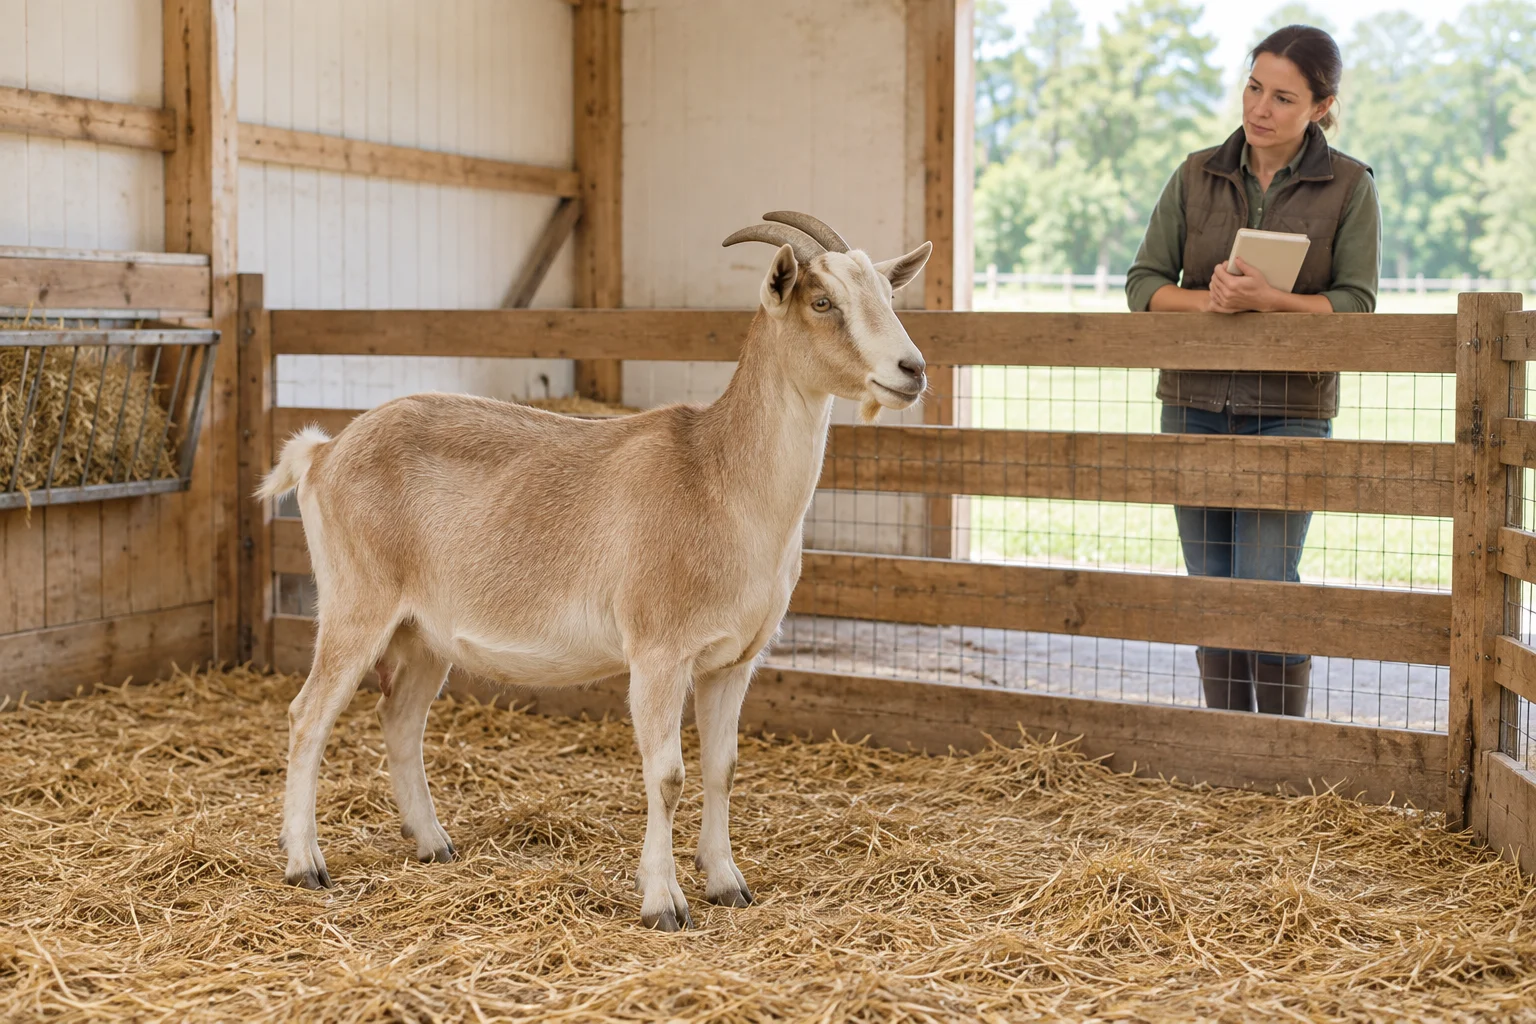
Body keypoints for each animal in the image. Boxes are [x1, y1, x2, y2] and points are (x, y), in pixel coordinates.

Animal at [258, 211, 931, 930]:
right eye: (823, 301)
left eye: (887, 297)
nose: (911, 369)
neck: (719, 479)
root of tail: (324, 452)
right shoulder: (659, 651)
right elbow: (668, 775)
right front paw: (663, 901)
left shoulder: (732, 660)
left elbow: (721, 768)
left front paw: (726, 881)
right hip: (357, 604)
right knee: (308, 715)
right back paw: (305, 863)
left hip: (421, 632)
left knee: (401, 719)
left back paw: (433, 842)